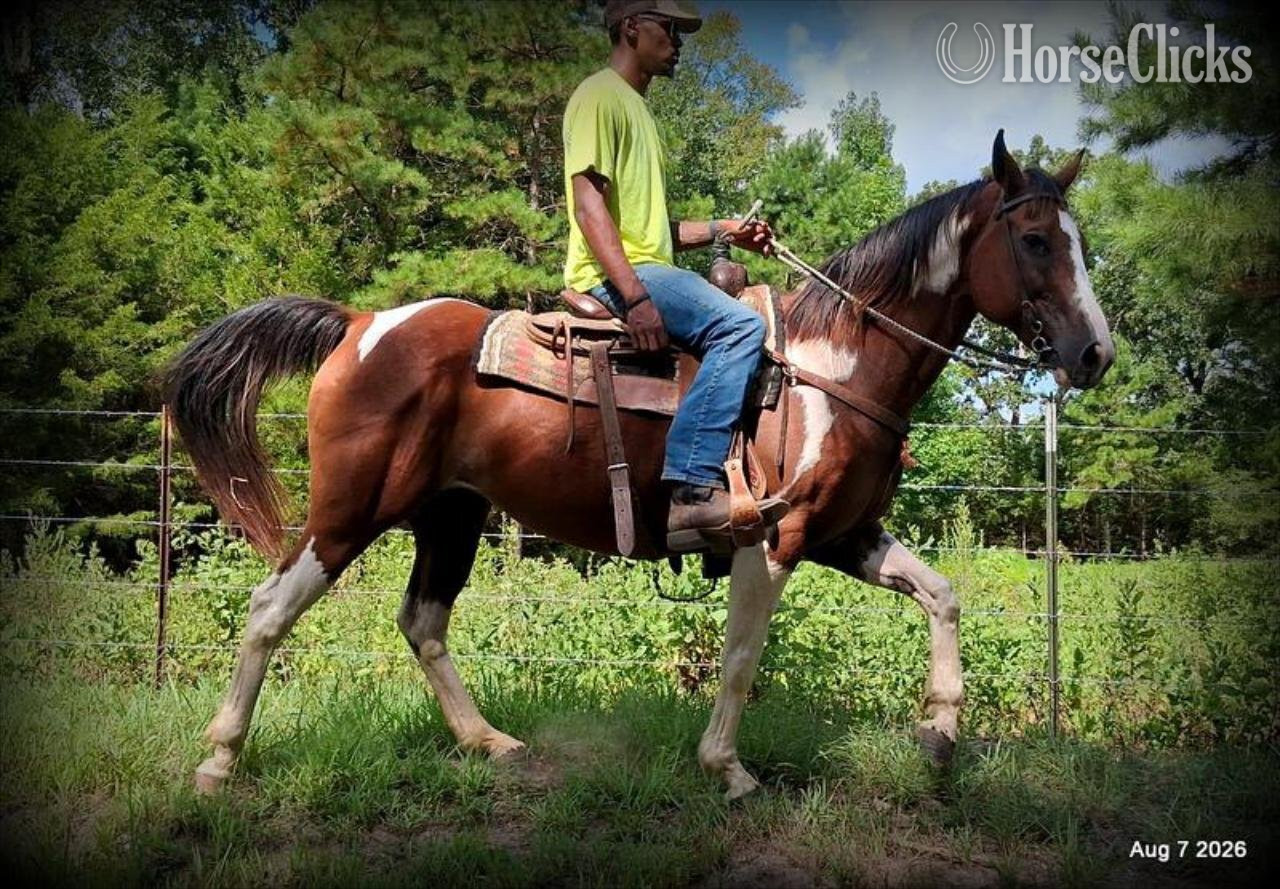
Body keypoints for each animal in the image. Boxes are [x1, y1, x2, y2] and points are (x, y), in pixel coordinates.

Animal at [166, 132, 1113, 799]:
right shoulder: (771, 540)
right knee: (269, 608)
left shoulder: (845, 532)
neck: (836, 368)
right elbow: (741, 656)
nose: (1095, 353)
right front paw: (727, 768)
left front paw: (941, 733)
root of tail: (361, 322)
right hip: (349, 510)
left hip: (452, 513)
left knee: (423, 621)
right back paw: (216, 762)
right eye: (1035, 239)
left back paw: (487, 742)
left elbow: (942, 595)